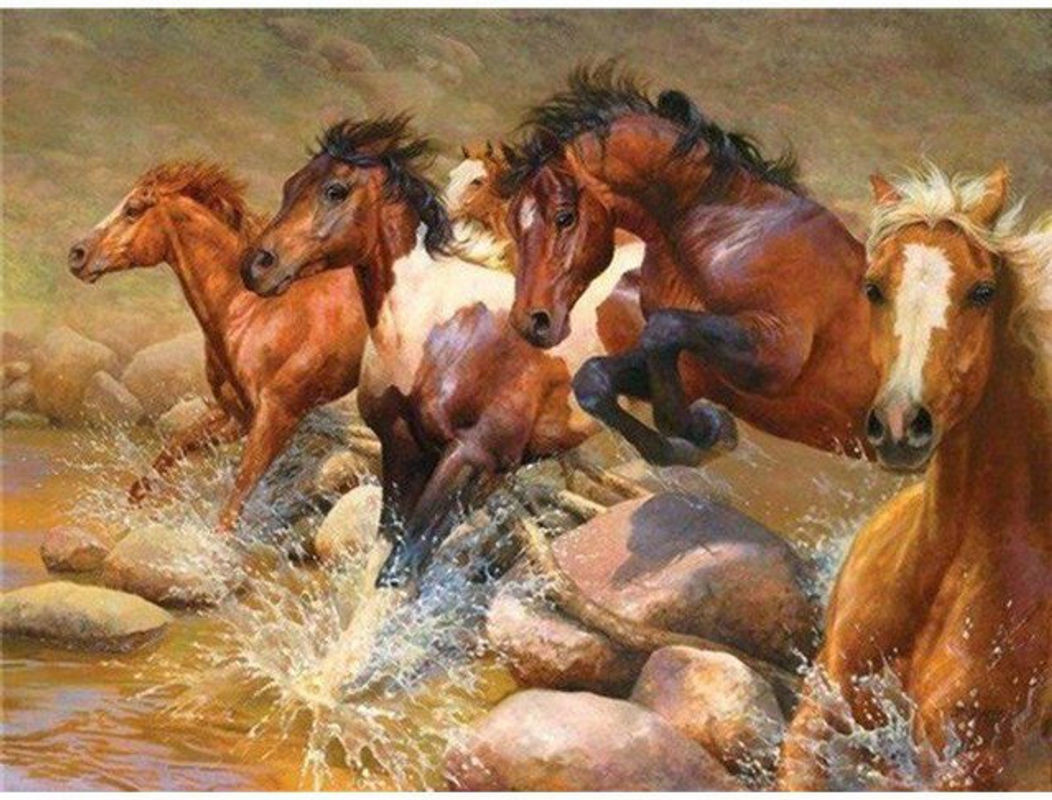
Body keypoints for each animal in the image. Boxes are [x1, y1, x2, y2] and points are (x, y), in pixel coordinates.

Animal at [68, 161, 370, 532]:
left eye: (133, 209)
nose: (77, 254)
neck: (252, 309)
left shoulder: (277, 418)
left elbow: (234, 501)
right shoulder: (235, 414)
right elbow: (172, 449)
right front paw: (131, 512)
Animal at [240, 115, 647, 587]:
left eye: (335, 190)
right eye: (291, 186)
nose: (256, 265)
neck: (434, 325)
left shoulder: (470, 457)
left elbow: (402, 570)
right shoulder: (405, 447)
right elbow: (384, 560)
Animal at [501, 62, 879, 466]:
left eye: (564, 217)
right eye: (512, 222)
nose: (530, 323)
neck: (731, 234)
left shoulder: (778, 354)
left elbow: (664, 330)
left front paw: (700, 426)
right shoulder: (697, 368)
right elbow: (594, 378)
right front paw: (702, 431)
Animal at [778, 165, 1051, 789]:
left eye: (983, 292)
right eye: (874, 287)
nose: (902, 425)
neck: (943, 571)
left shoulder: (964, 761)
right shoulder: (821, 709)